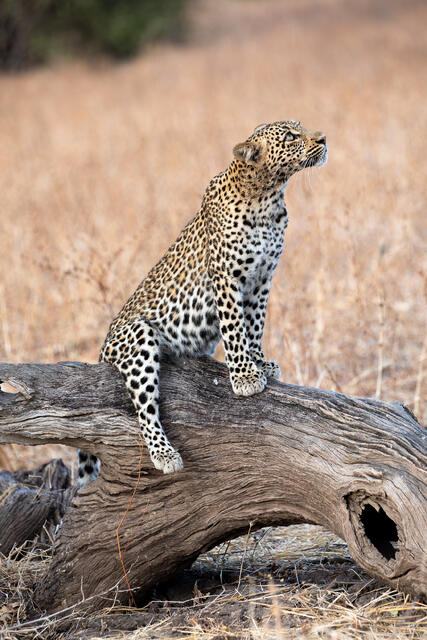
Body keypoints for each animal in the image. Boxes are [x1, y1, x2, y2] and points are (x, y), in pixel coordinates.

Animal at [77, 120, 327, 485]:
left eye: (302, 128)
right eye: (291, 136)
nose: (323, 138)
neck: (268, 196)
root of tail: (103, 346)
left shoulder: (262, 279)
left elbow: (255, 324)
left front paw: (259, 363)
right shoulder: (226, 277)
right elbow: (235, 327)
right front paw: (244, 377)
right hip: (138, 335)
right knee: (144, 409)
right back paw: (165, 455)